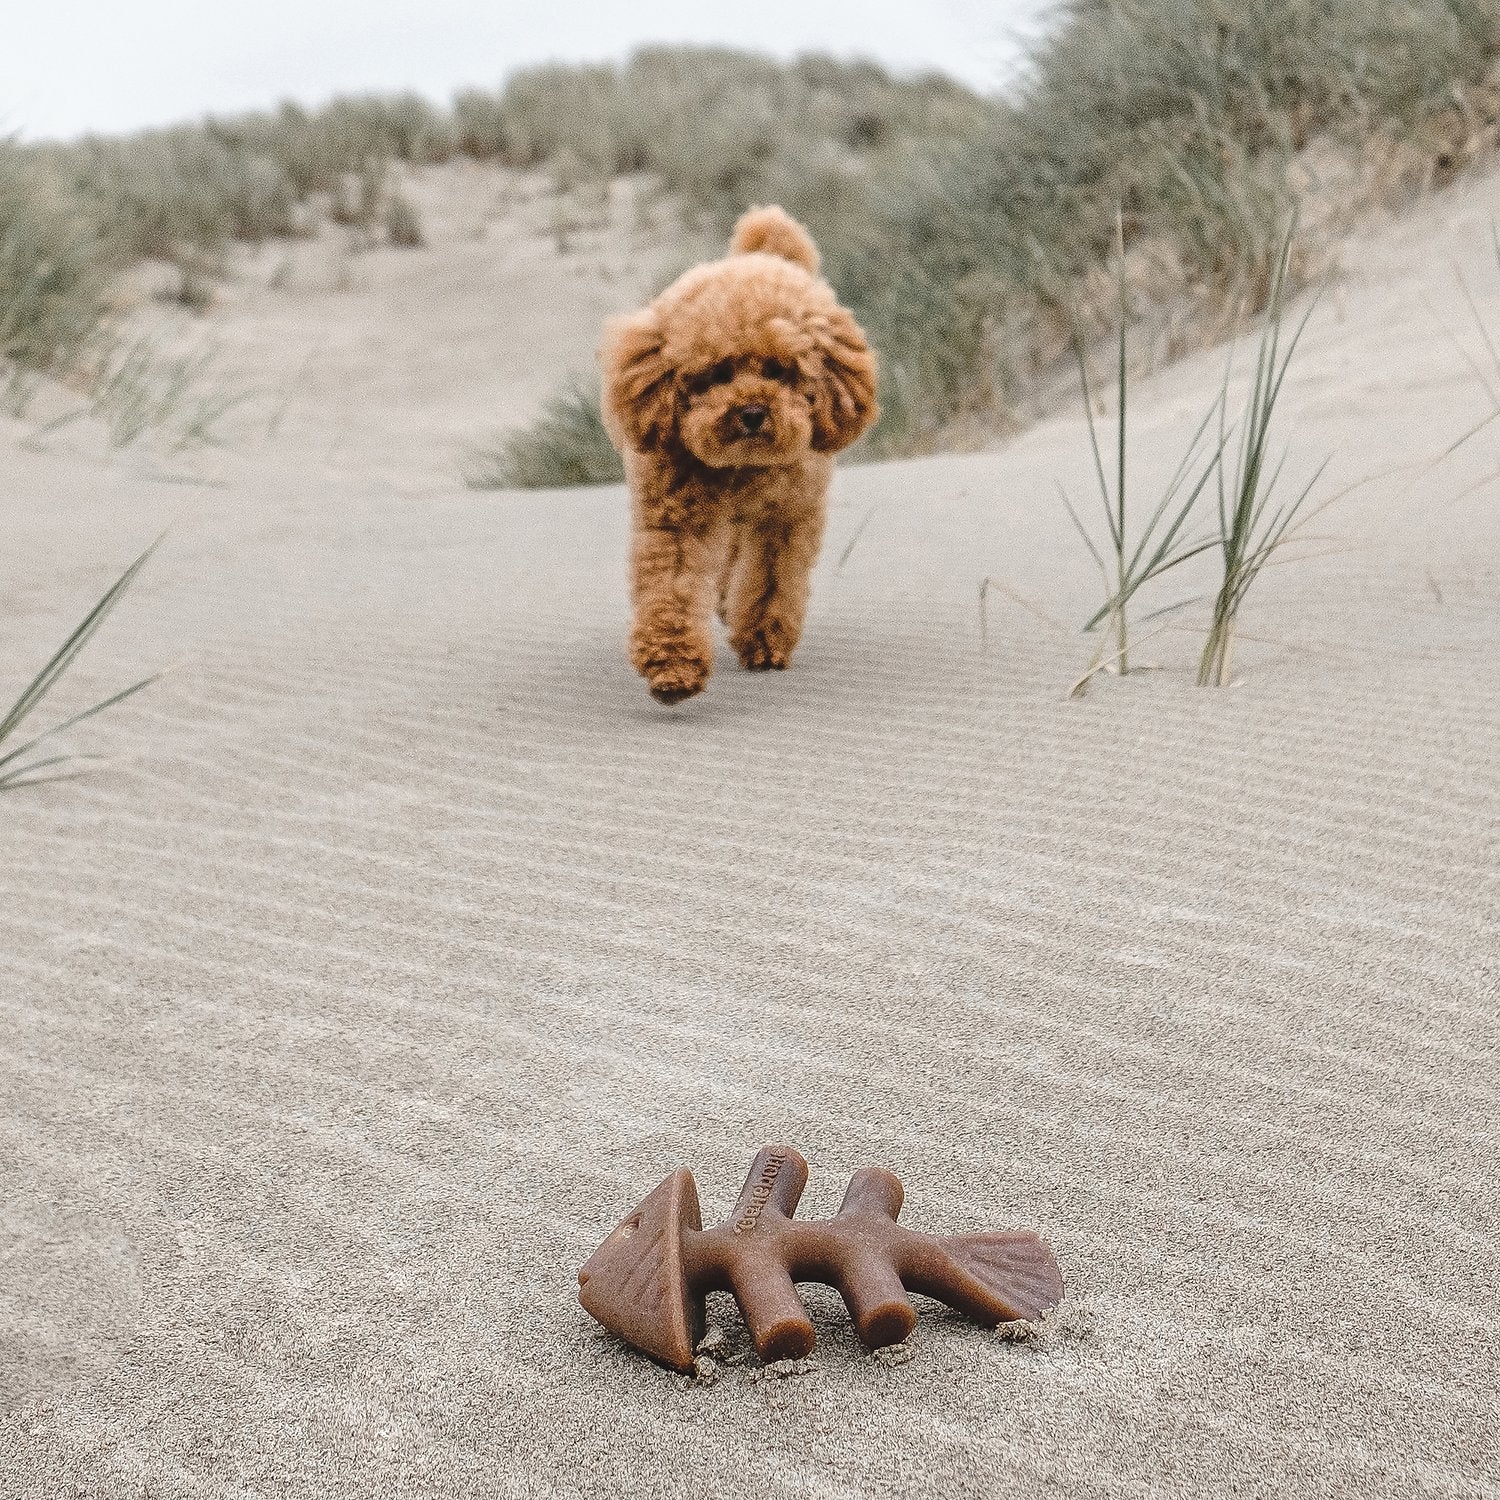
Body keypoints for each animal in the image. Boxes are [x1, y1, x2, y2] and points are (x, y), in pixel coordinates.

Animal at [600, 205, 876, 702]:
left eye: (779, 371)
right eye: (717, 373)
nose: (752, 412)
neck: (742, 469)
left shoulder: (785, 518)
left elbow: (770, 583)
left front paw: (763, 640)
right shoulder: (676, 521)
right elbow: (672, 589)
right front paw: (672, 665)